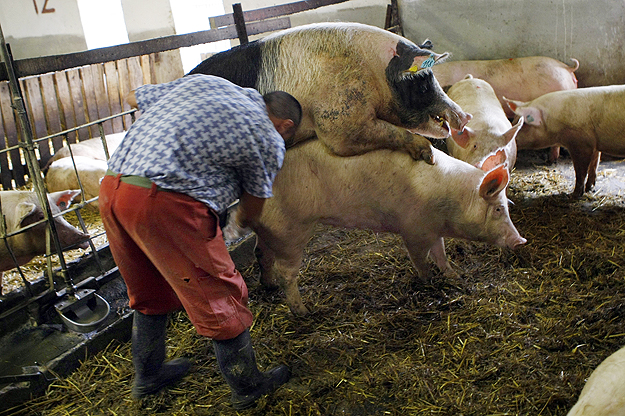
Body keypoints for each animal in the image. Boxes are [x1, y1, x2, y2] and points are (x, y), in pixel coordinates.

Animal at [239, 141, 528, 314]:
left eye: (508, 205)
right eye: (498, 209)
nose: (521, 241)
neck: (450, 202)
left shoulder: (432, 229)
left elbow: (441, 254)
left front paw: (454, 275)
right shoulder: (414, 230)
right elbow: (421, 259)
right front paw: (428, 281)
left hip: (269, 229)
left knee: (260, 253)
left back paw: (269, 287)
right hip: (290, 229)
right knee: (286, 272)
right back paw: (304, 311)